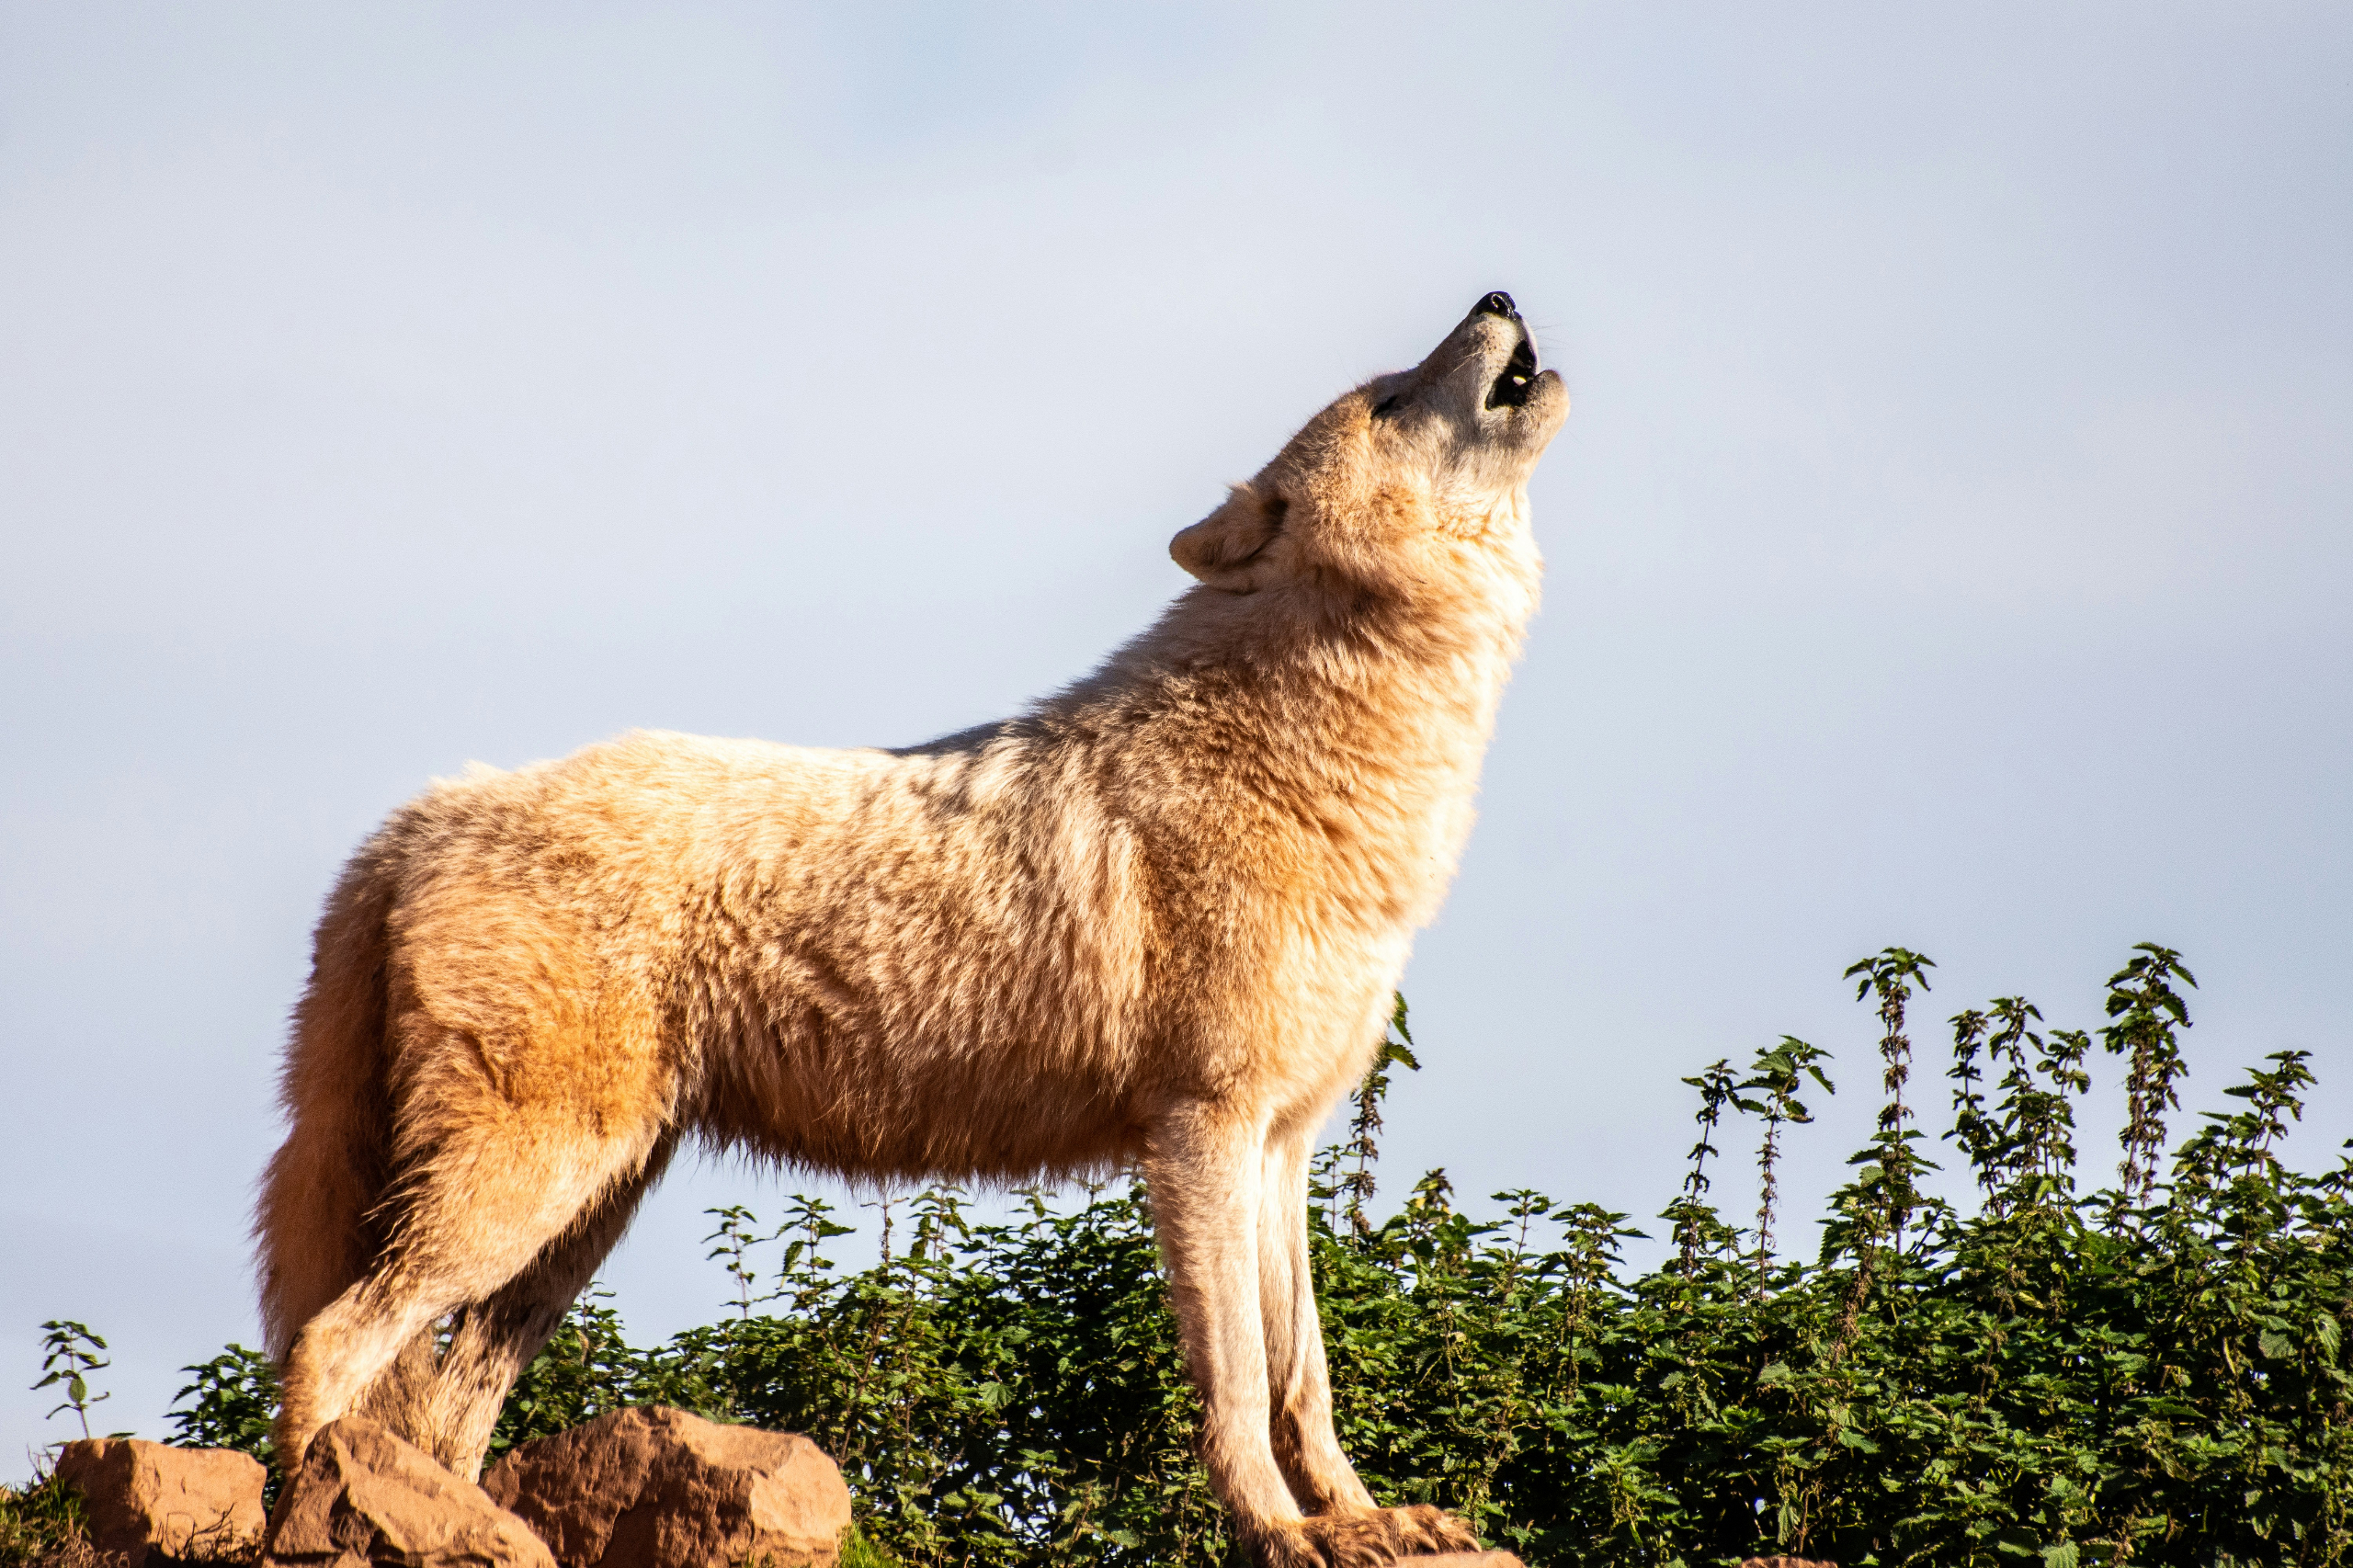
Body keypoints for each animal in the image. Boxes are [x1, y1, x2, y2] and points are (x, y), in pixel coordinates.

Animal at [253, 292, 1562, 1562]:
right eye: (1390, 396)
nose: (1499, 294)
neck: (1312, 757)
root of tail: (420, 814)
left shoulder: (1284, 1143)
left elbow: (1307, 1378)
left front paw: (1364, 1519)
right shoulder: (1202, 1131)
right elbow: (1238, 1381)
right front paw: (1283, 1534)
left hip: (579, 1212)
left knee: (442, 1406)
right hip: (522, 1188)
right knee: (330, 1341)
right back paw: (322, 1516)